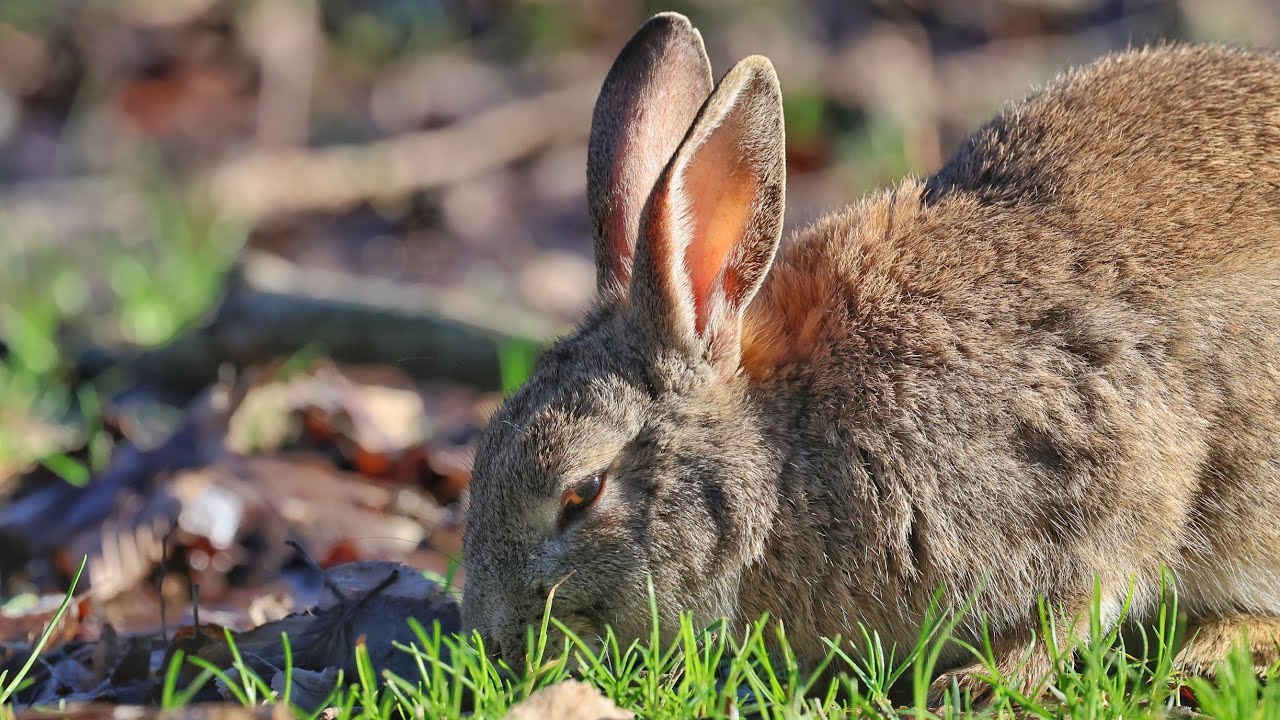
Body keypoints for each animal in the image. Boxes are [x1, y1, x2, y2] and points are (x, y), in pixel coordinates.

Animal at [462, 10, 1280, 700]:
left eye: (583, 492)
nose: (497, 644)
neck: (783, 450)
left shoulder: (1104, 460)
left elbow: (1089, 593)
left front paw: (983, 682)